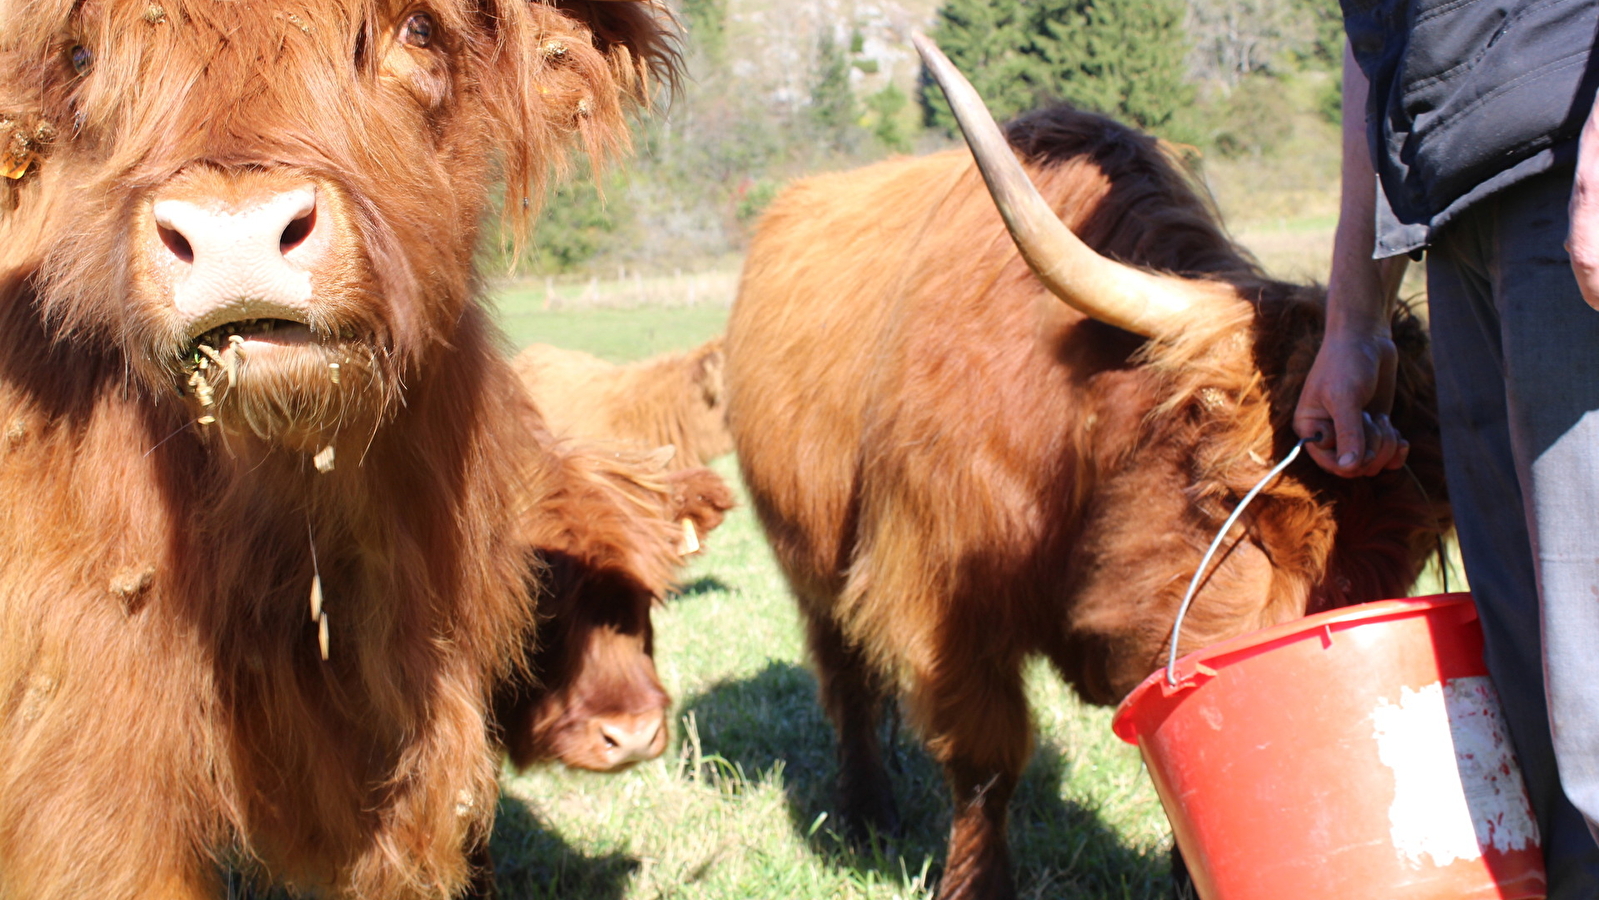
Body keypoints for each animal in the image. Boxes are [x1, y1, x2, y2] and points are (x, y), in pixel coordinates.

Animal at [725, 36, 1451, 900]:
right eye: (1229, 504)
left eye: (1410, 557)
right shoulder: (940, 600)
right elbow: (984, 759)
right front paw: (974, 884)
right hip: (806, 556)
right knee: (845, 677)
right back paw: (868, 808)